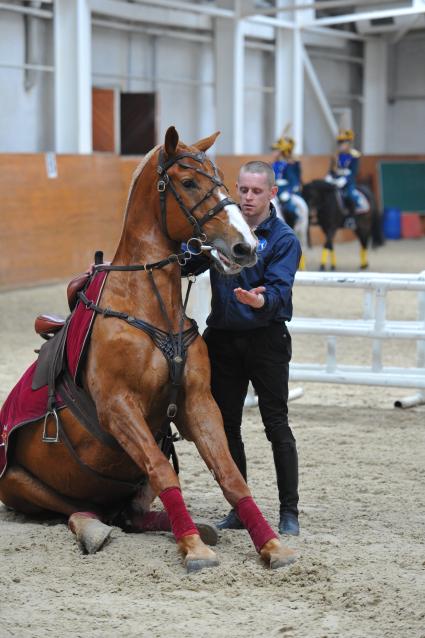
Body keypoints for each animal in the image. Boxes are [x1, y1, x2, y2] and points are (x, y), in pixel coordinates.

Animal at [0, 127, 296, 572]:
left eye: (224, 181)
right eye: (188, 183)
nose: (246, 247)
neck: (148, 307)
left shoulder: (198, 402)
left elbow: (230, 475)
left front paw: (271, 544)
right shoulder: (119, 408)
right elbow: (164, 471)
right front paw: (194, 548)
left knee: (130, 514)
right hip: (20, 484)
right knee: (77, 510)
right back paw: (96, 529)